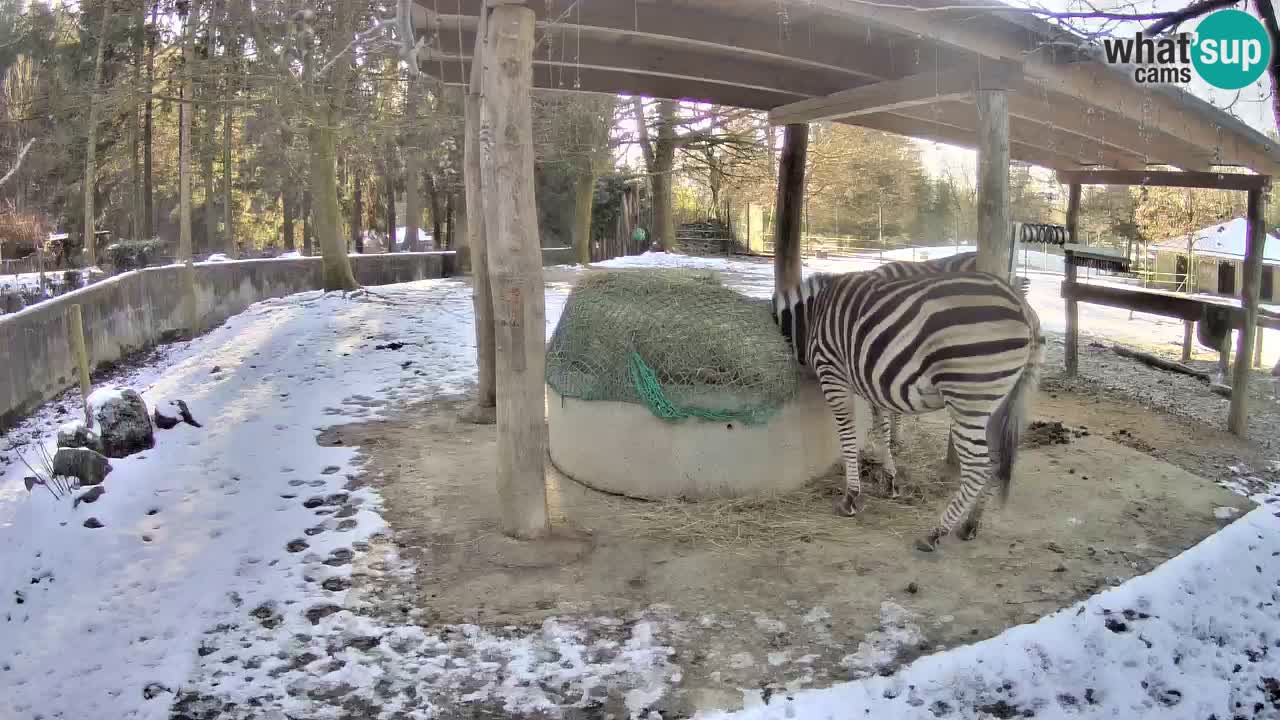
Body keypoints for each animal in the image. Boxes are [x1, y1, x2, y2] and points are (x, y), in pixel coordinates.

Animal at [773, 269, 1044, 548]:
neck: (810, 316)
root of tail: (1022, 306)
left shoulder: (832, 372)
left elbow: (847, 436)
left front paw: (851, 496)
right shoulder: (870, 382)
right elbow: (882, 428)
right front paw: (889, 480)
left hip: (968, 398)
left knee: (978, 467)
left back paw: (935, 532)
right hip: (999, 404)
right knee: (997, 460)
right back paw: (970, 525)